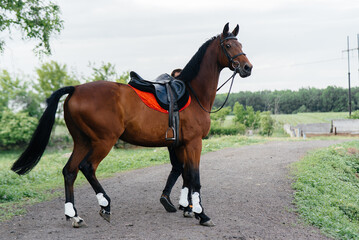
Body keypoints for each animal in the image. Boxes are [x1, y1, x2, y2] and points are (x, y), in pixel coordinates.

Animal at [11, 23, 253, 228]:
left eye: (241, 45)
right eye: (229, 45)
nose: (247, 67)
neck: (193, 94)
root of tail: (76, 89)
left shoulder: (181, 145)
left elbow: (185, 174)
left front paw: (188, 208)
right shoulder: (194, 143)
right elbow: (194, 178)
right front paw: (202, 214)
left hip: (82, 141)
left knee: (69, 171)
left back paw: (74, 215)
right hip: (103, 141)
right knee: (87, 167)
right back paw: (105, 204)